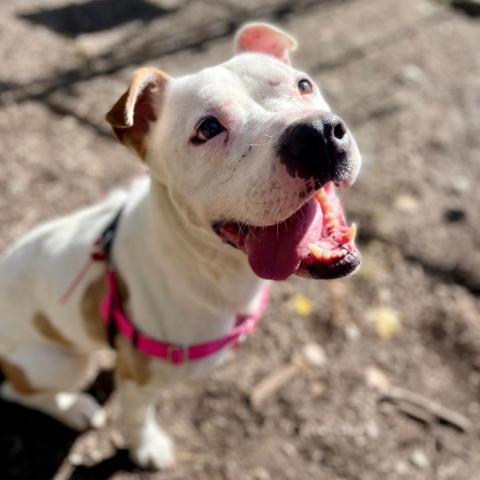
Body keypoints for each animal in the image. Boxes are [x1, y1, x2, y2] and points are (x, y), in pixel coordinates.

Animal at [0, 22, 360, 468]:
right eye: (207, 129)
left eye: (303, 85)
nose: (317, 133)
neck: (210, 265)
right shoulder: (138, 381)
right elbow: (137, 417)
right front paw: (146, 449)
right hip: (60, 361)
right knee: (18, 389)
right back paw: (75, 407)